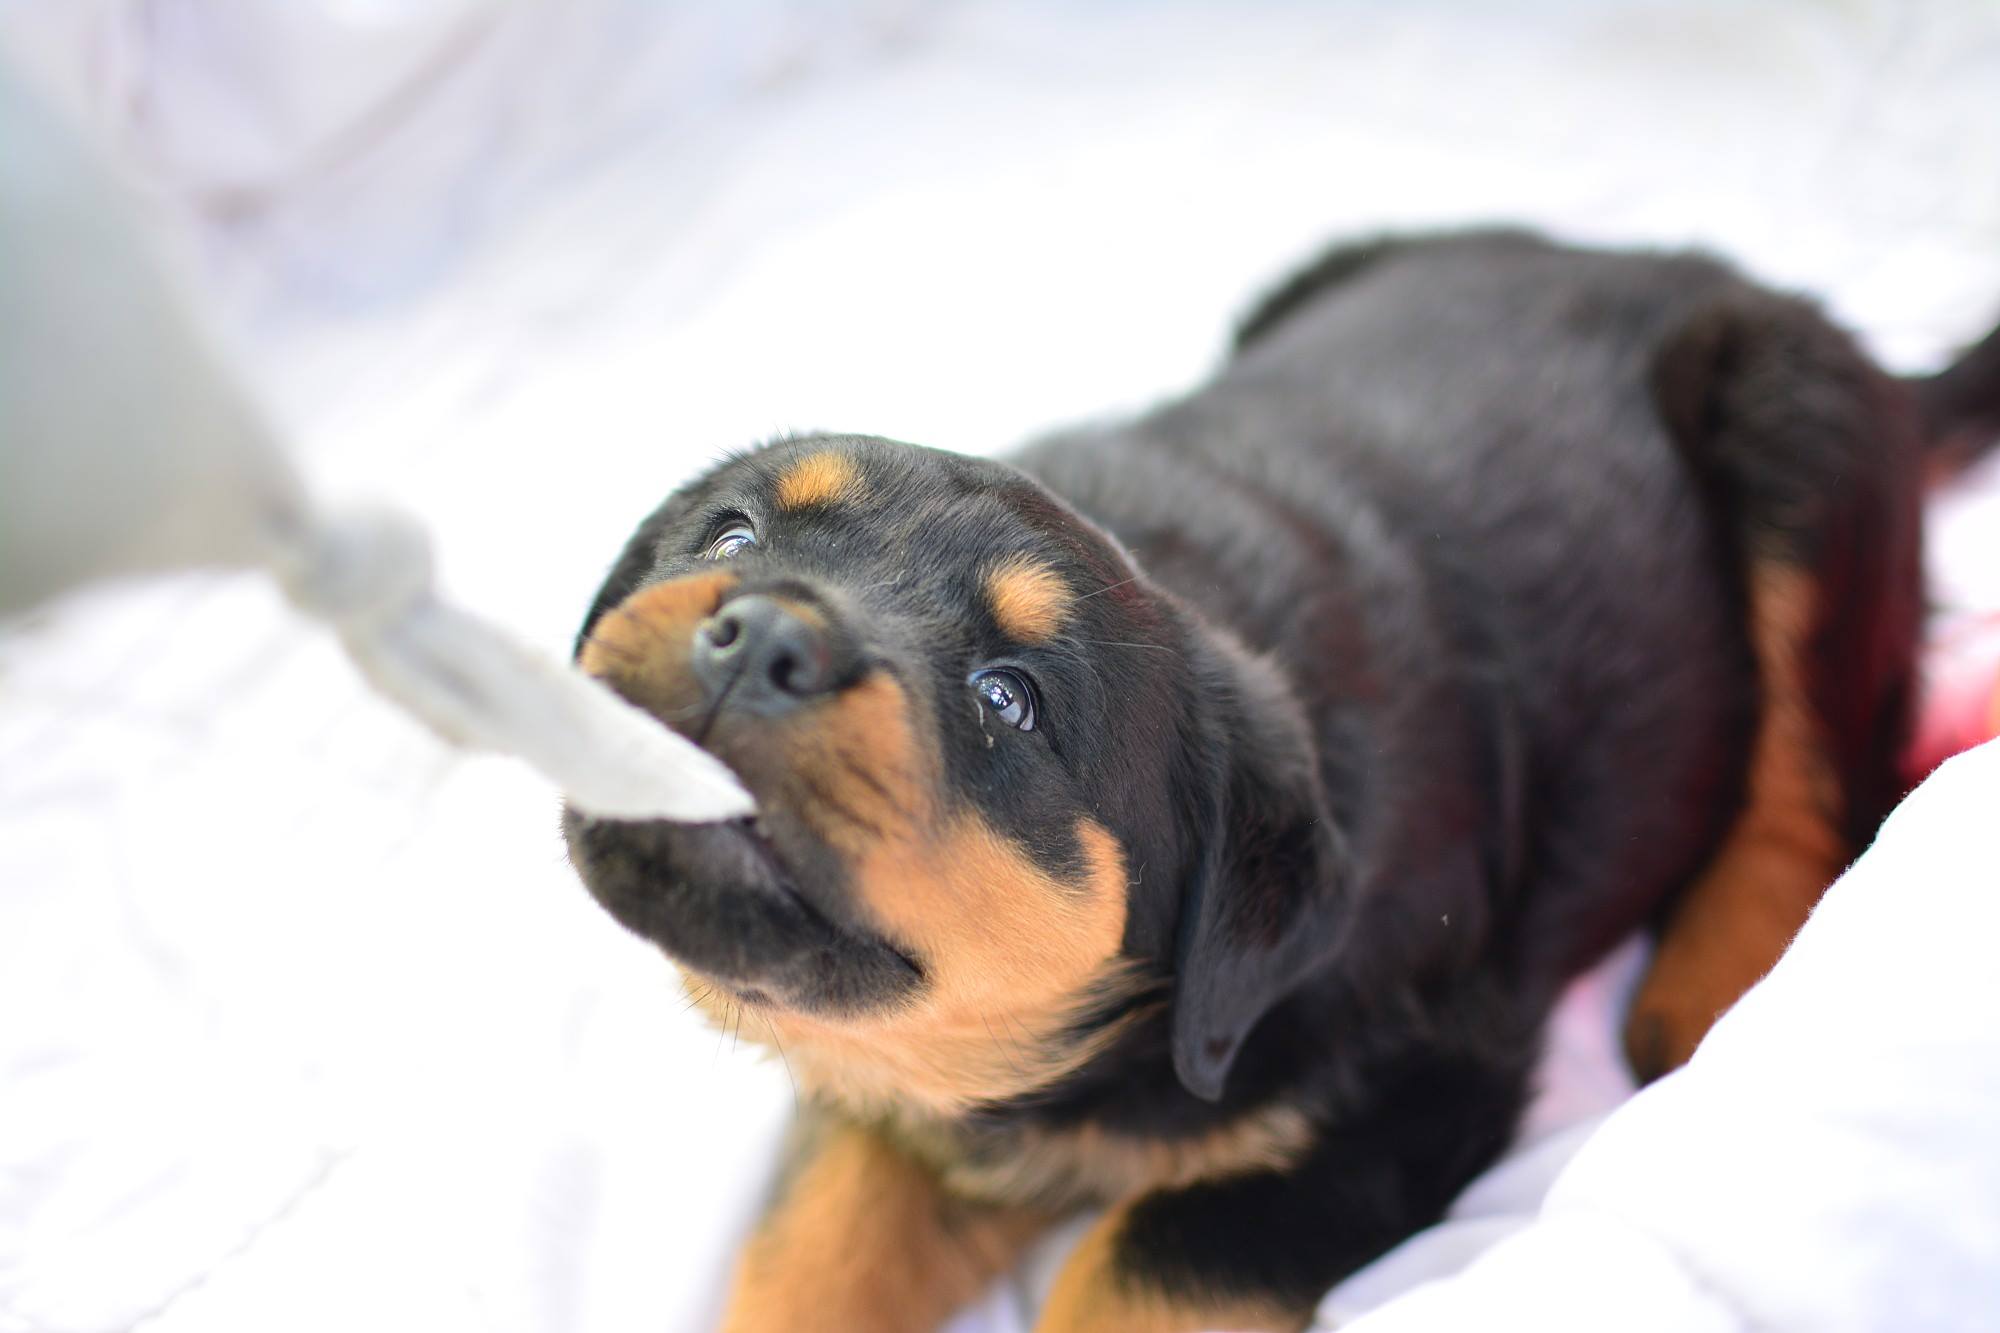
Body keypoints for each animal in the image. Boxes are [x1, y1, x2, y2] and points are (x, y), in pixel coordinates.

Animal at [556, 233, 1992, 1320]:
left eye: (1008, 700)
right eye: (731, 534)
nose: (762, 636)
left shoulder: (1421, 1083)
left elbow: (1142, 1259)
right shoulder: (896, 1101)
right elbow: (808, 1243)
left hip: (1791, 432)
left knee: (1821, 748)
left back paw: (1719, 968)